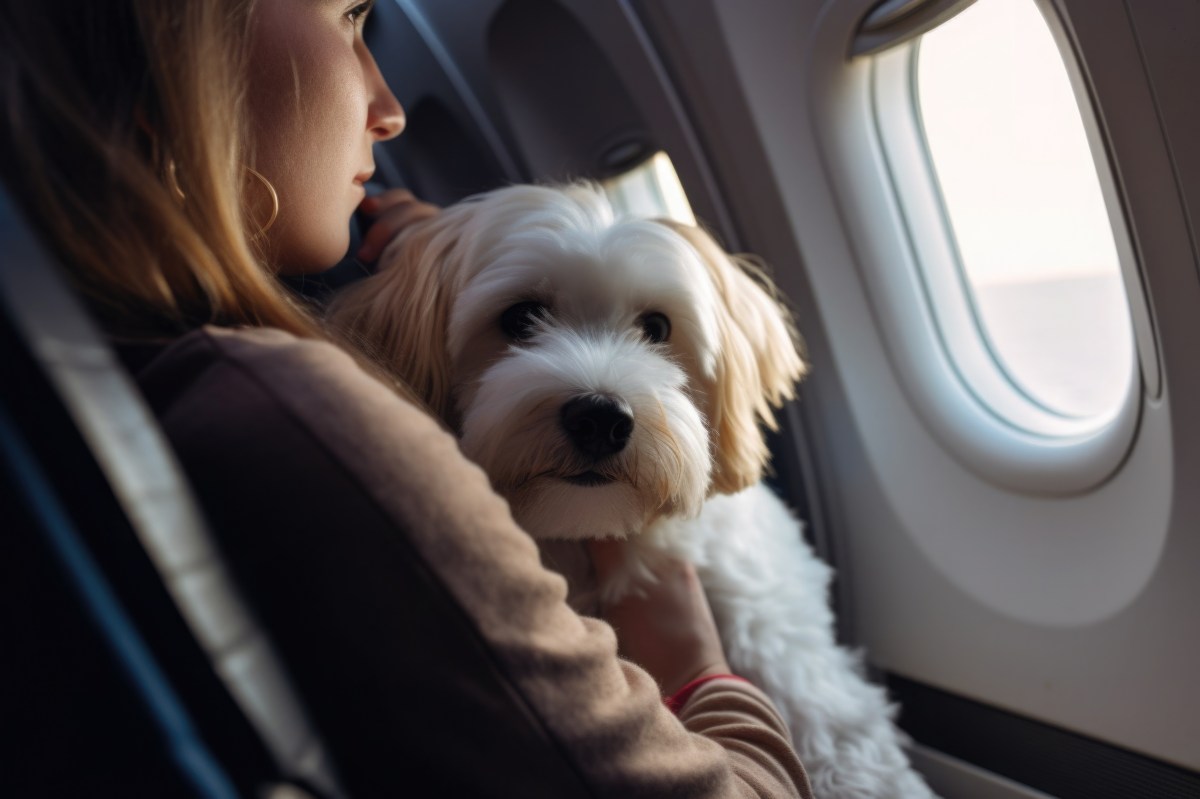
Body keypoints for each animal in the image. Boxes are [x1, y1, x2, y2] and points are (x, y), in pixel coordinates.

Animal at [326, 182, 936, 796]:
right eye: (521, 318)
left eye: (658, 328)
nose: (600, 418)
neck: (588, 532)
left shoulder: (770, 616)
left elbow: (833, 721)